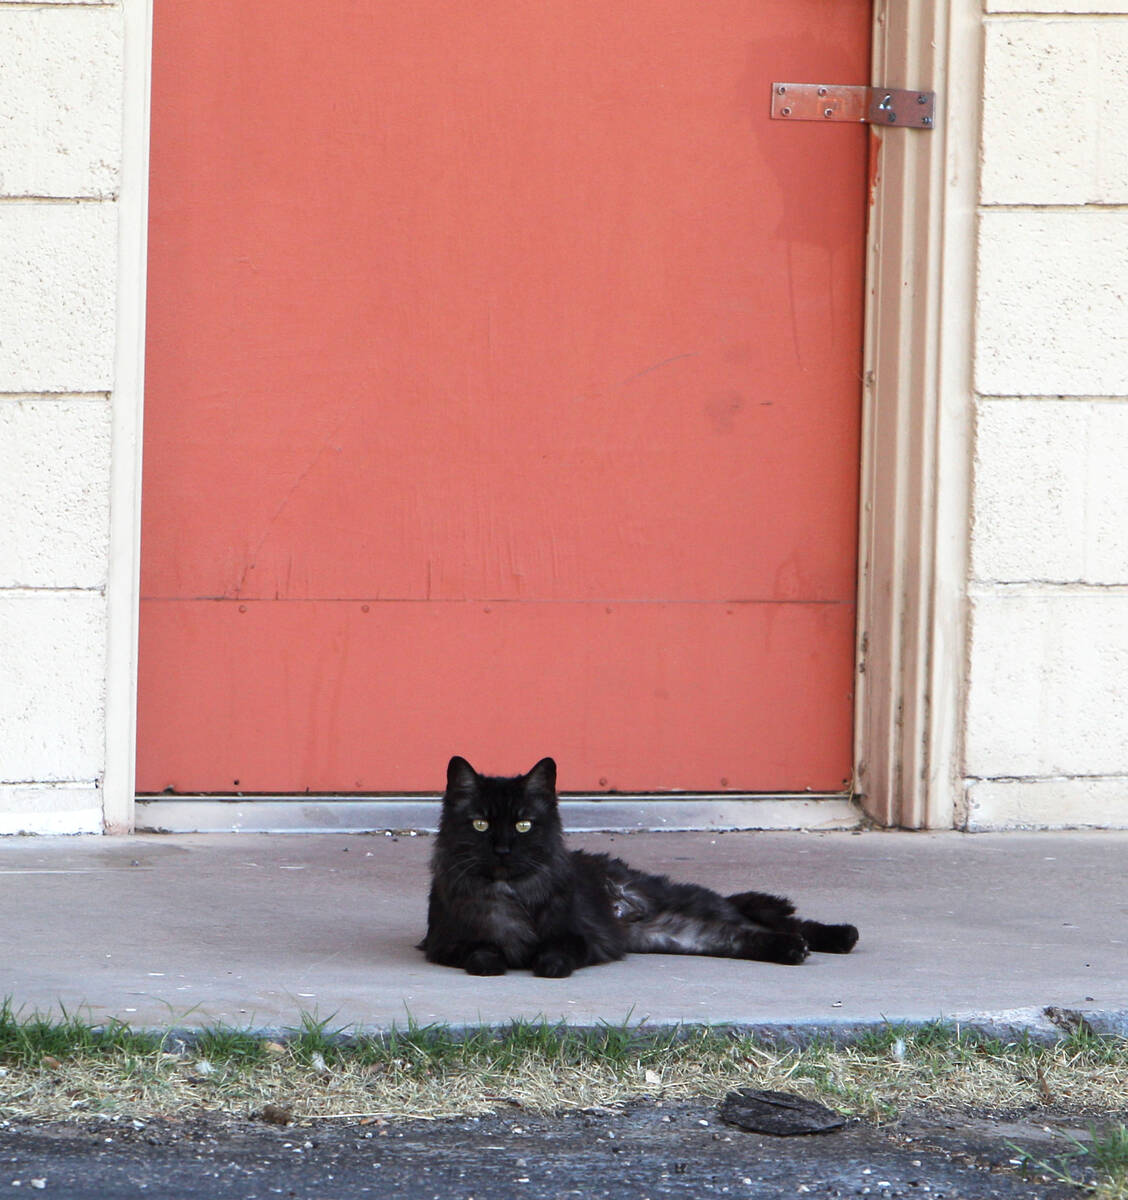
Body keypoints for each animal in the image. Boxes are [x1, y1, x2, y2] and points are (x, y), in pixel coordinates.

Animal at [417, 753, 859, 979]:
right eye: (480, 824)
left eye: (524, 824)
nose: (504, 849)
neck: (511, 894)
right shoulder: (445, 944)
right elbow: (481, 954)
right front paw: (498, 960)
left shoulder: (580, 937)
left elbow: (556, 954)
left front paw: (543, 964)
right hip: (680, 935)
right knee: (744, 935)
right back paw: (795, 950)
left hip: (688, 905)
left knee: (770, 920)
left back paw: (838, 936)